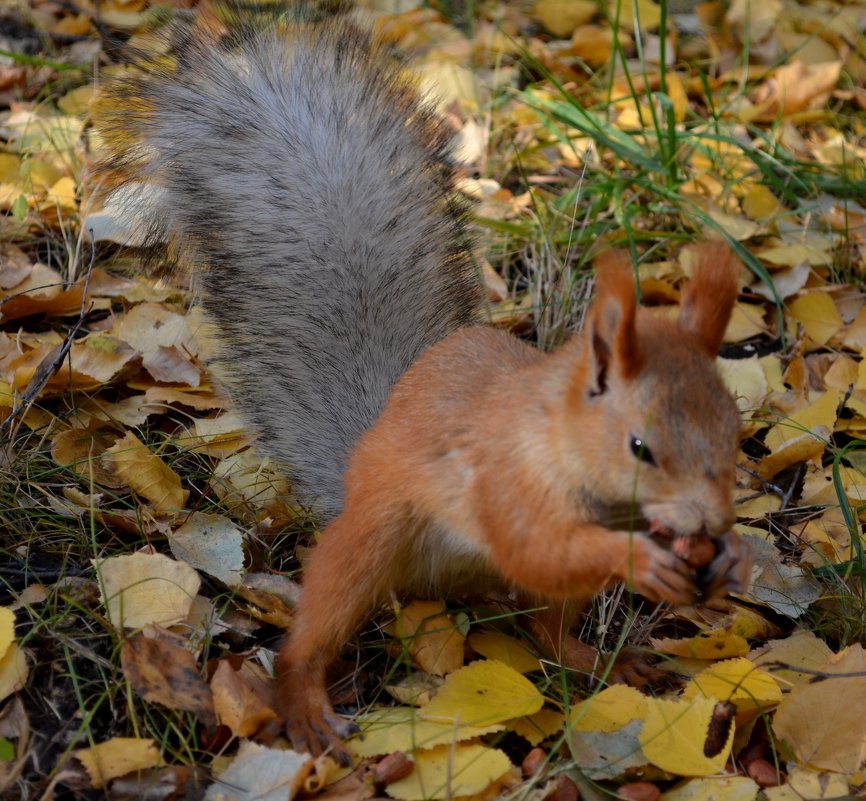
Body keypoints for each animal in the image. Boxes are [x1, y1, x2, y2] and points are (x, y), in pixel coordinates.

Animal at [91, 14, 744, 764]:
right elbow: (539, 549)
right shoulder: (500, 479)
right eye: (639, 447)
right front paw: (639, 559)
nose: (710, 524)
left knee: (549, 627)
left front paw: (728, 560)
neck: (559, 440)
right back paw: (305, 704)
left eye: (735, 430)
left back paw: (595, 655)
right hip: (370, 539)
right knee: (320, 622)